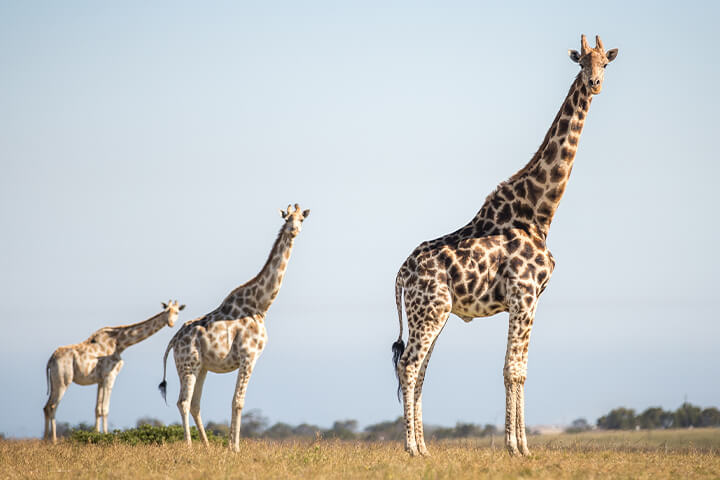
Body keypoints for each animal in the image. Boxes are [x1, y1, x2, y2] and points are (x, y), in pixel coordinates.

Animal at [43, 300, 184, 442]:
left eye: (177, 312)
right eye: (166, 311)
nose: (171, 323)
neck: (120, 343)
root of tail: (50, 360)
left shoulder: (100, 380)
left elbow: (97, 409)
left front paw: (96, 435)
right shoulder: (110, 375)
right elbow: (105, 409)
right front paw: (106, 436)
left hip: (55, 380)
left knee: (46, 407)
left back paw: (45, 440)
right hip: (64, 380)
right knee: (53, 406)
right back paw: (53, 440)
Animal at [159, 202, 308, 450]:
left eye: (301, 219)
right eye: (286, 218)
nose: (293, 230)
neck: (260, 306)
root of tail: (173, 341)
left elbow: (235, 401)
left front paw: (231, 446)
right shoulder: (249, 356)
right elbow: (238, 401)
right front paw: (235, 448)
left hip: (202, 367)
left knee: (195, 403)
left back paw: (207, 446)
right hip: (188, 364)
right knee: (183, 402)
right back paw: (189, 446)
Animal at [390, 34, 616, 458]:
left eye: (605, 64)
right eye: (581, 63)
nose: (595, 84)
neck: (540, 212)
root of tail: (399, 277)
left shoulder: (531, 299)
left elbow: (521, 370)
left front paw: (523, 446)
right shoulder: (523, 295)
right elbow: (513, 370)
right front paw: (515, 447)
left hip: (430, 313)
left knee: (420, 367)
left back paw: (425, 448)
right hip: (429, 311)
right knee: (409, 365)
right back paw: (411, 448)